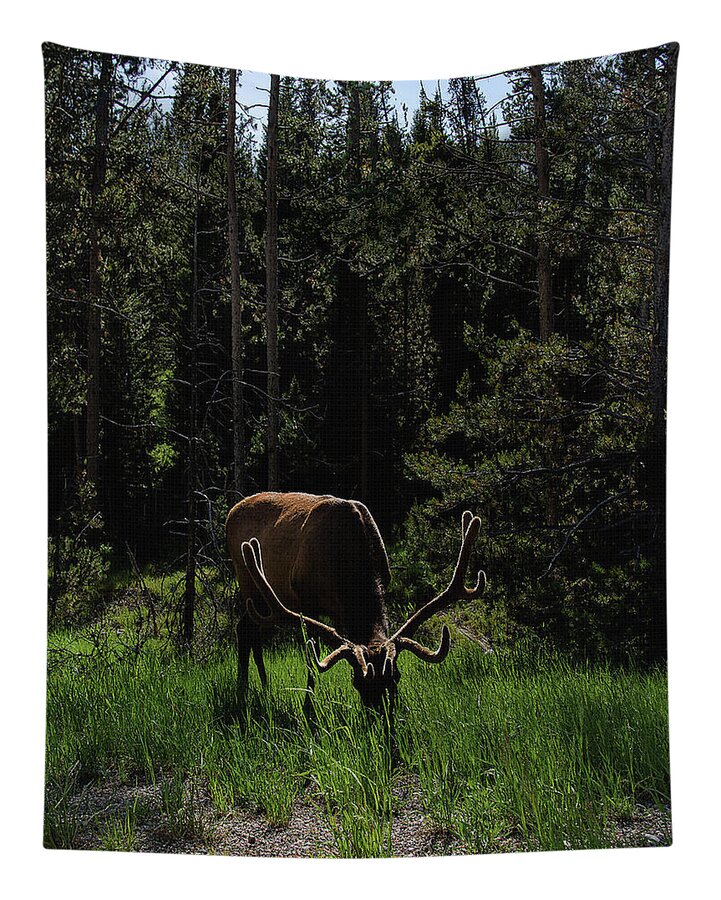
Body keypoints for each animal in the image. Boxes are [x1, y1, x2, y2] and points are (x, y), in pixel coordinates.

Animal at [225, 491, 486, 719]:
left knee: (249, 629)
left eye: (396, 677)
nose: (381, 719)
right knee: (245, 629)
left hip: (261, 601)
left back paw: (262, 686)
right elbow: (312, 658)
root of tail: (231, 512)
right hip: (248, 583)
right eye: (357, 681)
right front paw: (308, 710)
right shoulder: (307, 602)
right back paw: (242, 689)